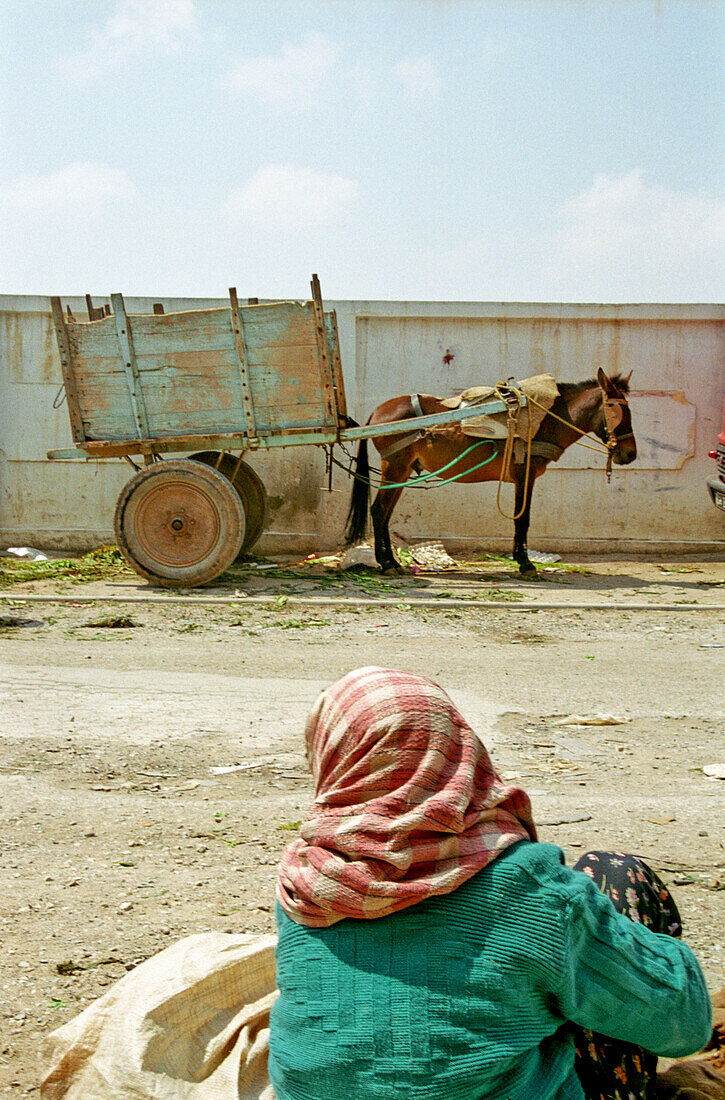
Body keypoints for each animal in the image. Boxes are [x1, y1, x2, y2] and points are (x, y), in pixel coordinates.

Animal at [345, 369, 633, 576]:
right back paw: (386, 564)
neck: (544, 416)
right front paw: (526, 564)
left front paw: (521, 560)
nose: (631, 454)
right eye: (618, 411)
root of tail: (376, 412)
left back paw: (391, 562)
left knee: (385, 513)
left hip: (401, 471)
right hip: (395, 467)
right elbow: (522, 519)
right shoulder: (525, 475)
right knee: (379, 511)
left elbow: (521, 520)